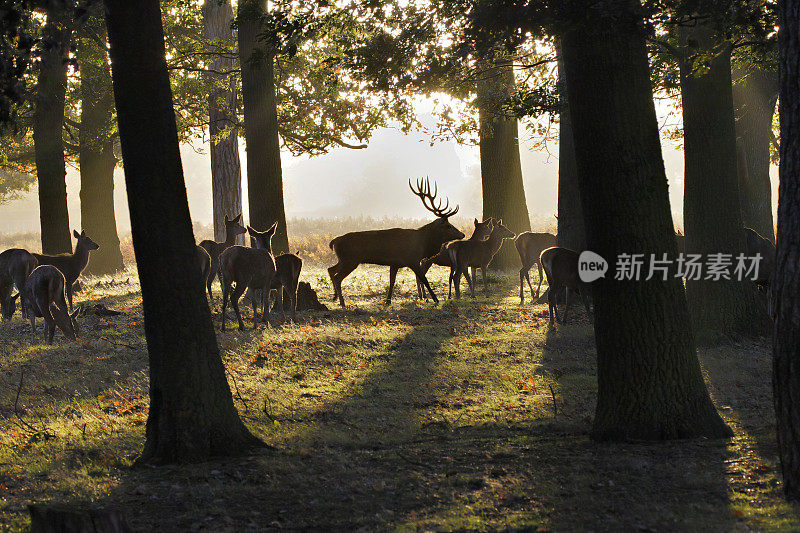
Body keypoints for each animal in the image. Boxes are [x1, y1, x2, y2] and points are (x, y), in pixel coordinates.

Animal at [324, 177, 462, 306]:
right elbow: (424, 279)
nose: (462, 234)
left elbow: (392, 281)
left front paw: (388, 301)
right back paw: (342, 302)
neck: (423, 245)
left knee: (331, 269)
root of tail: (334, 241)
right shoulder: (412, 260)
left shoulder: (395, 263)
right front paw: (435, 299)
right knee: (337, 277)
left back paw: (335, 297)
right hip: (351, 260)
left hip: (344, 259)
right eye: (448, 226)